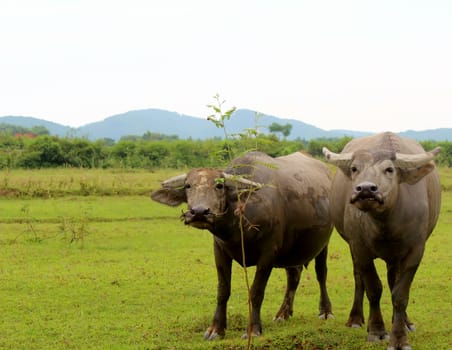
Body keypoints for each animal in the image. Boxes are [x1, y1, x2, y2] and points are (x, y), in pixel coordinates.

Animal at [154, 150, 334, 340]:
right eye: (188, 186)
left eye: (219, 186)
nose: (199, 212)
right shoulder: (220, 251)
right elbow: (223, 290)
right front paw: (216, 329)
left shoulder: (268, 254)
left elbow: (256, 292)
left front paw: (253, 329)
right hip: (292, 251)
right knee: (294, 275)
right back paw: (283, 313)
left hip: (324, 243)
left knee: (321, 273)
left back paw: (325, 311)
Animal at [324, 132, 440, 350]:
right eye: (355, 168)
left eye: (389, 169)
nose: (365, 189)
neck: (385, 221)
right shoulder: (359, 248)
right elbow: (373, 288)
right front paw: (377, 331)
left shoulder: (415, 251)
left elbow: (400, 295)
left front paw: (400, 337)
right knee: (359, 278)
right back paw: (356, 319)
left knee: (393, 280)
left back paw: (405, 322)